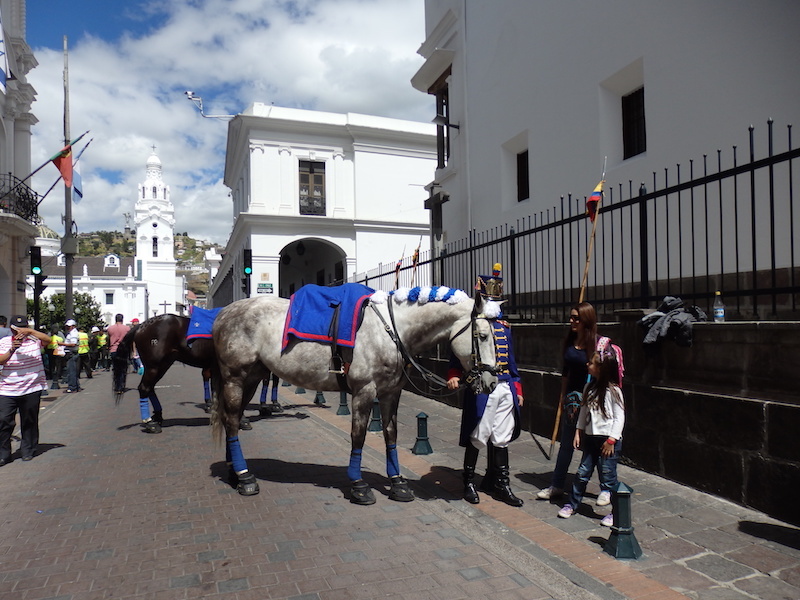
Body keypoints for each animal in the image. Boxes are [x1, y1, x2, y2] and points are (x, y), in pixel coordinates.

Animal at [212, 286, 500, 502]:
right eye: (483, 335)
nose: (492, 381)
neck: (392, 329)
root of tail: (223, 314)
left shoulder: (390, 393)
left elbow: (390, 434)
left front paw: (397, 482)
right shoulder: (364, 391)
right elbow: (358, 435)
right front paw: (359, 485)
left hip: (251, 378)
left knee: (231, 419)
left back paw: (235, 472)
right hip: (235, 377)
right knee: (233, 422)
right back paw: (245, 477)